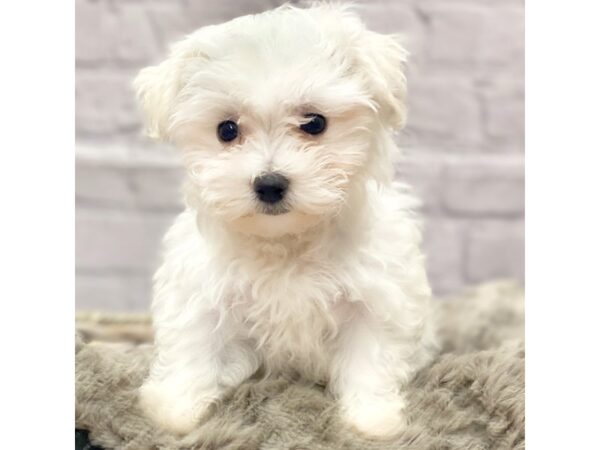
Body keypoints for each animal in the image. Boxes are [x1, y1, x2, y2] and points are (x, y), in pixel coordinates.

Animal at [135, 3, 436, 438]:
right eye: (226, 130)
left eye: (314, 123)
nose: (270, 183)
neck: (286, 240)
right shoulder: (199, 291)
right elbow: (194, 342)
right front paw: (177, 410)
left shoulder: (377, 298)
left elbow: (370, 357)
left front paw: (371, 419)